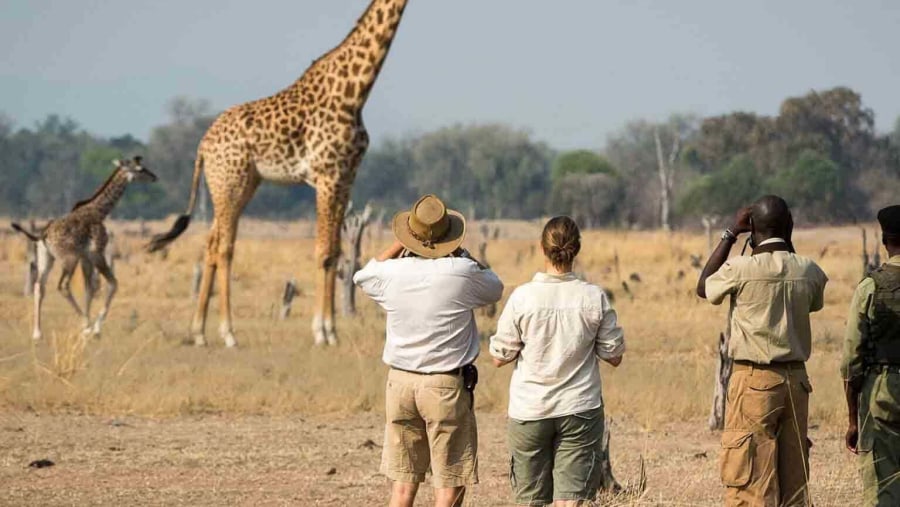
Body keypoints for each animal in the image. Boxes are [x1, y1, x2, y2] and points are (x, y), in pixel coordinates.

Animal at [11, 157, 156, 340]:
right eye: (140, 169)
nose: (154, 177)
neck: (99, 210)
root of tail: (43, 235)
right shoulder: (96, 253)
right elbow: (112, 283)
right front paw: (94, 328)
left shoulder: (85, 258)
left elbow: (89, 289)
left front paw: (90, 326)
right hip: (68, 258)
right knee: (63, 286)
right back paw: (86, 325)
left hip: (47, 258)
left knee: (39, 286)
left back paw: (38, 333)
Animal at [150, 0, 412, 346]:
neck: (354, 92)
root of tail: (202, 147)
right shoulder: (326, 176)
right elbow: (323, 252)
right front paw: (321, 332)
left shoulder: (346, 177)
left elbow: (336, 251)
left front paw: (332, 331)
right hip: (229, 183)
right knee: (224, 248)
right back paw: (228, 333)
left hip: (241, 185)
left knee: (210, 244)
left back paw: (199, 332)